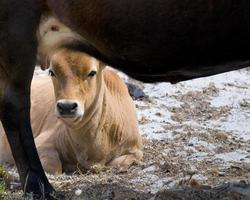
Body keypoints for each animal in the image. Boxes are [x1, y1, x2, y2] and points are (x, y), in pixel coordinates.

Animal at [0, 0, 250, 199]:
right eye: (52, 72)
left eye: (92, 72)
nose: (67, 107)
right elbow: (54, 164)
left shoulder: (133, 151)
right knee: (15, 107)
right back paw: (41, 188)